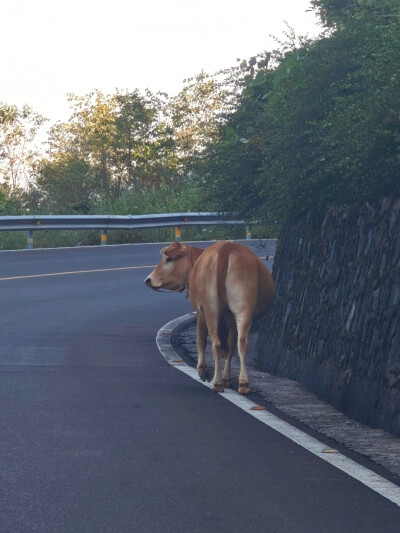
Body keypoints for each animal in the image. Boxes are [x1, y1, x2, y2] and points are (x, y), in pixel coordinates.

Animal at [146, 239, 276, 392]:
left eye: (168, 259)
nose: (148, 279)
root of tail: (227, 247)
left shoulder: (200, 312)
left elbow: (201, 339)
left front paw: (203, 370)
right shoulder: (230, 318)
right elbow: (231, 344)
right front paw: (227, 378)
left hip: (211, 309)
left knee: (216, 343)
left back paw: (217, 382)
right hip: (243, 308)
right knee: (241, 342)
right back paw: (243, 383)